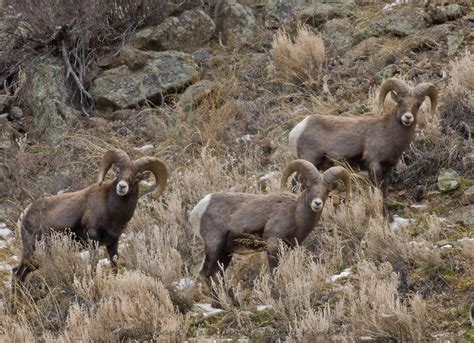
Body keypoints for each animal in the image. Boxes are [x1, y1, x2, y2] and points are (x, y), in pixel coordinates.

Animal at [12, 149, 168, 284]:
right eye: (118, 172)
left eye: (137, 177)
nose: (122, 186)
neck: (111, 210)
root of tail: (24, 215)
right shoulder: (93, 238)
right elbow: (93, 265)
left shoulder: (113, 242)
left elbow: (114, 264)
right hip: (32, 252)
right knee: (17, 274)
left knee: (17, 273)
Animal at [188, 160, 348, 296]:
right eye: (308, 186)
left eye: (327, 190)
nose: (317, 203)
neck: (295, 214)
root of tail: (199, 208)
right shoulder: (273, 244)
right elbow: (273, 272)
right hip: (215, 245)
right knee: (206, 273)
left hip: (225, 252)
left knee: (216, 275)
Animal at [286, 78, 438, 194]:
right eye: (400, 101)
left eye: (417, 104)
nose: (408, 118)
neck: (389, 133)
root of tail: (297, 129)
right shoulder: (374, 165)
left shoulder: (387, 169)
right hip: (310, 159)